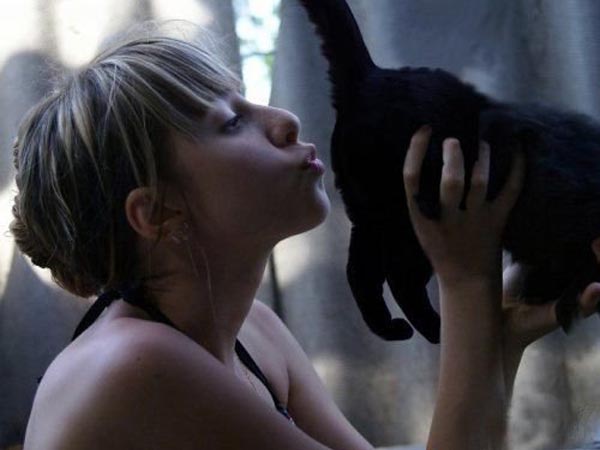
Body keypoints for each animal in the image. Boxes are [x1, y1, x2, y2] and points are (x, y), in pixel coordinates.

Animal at [297, 0, 600, 343]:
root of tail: (372, 74)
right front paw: (564, 295)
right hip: (401, 212)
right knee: (398, 276)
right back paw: (435, 329)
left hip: (373, 212)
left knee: (363, 271)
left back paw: (395, 327)